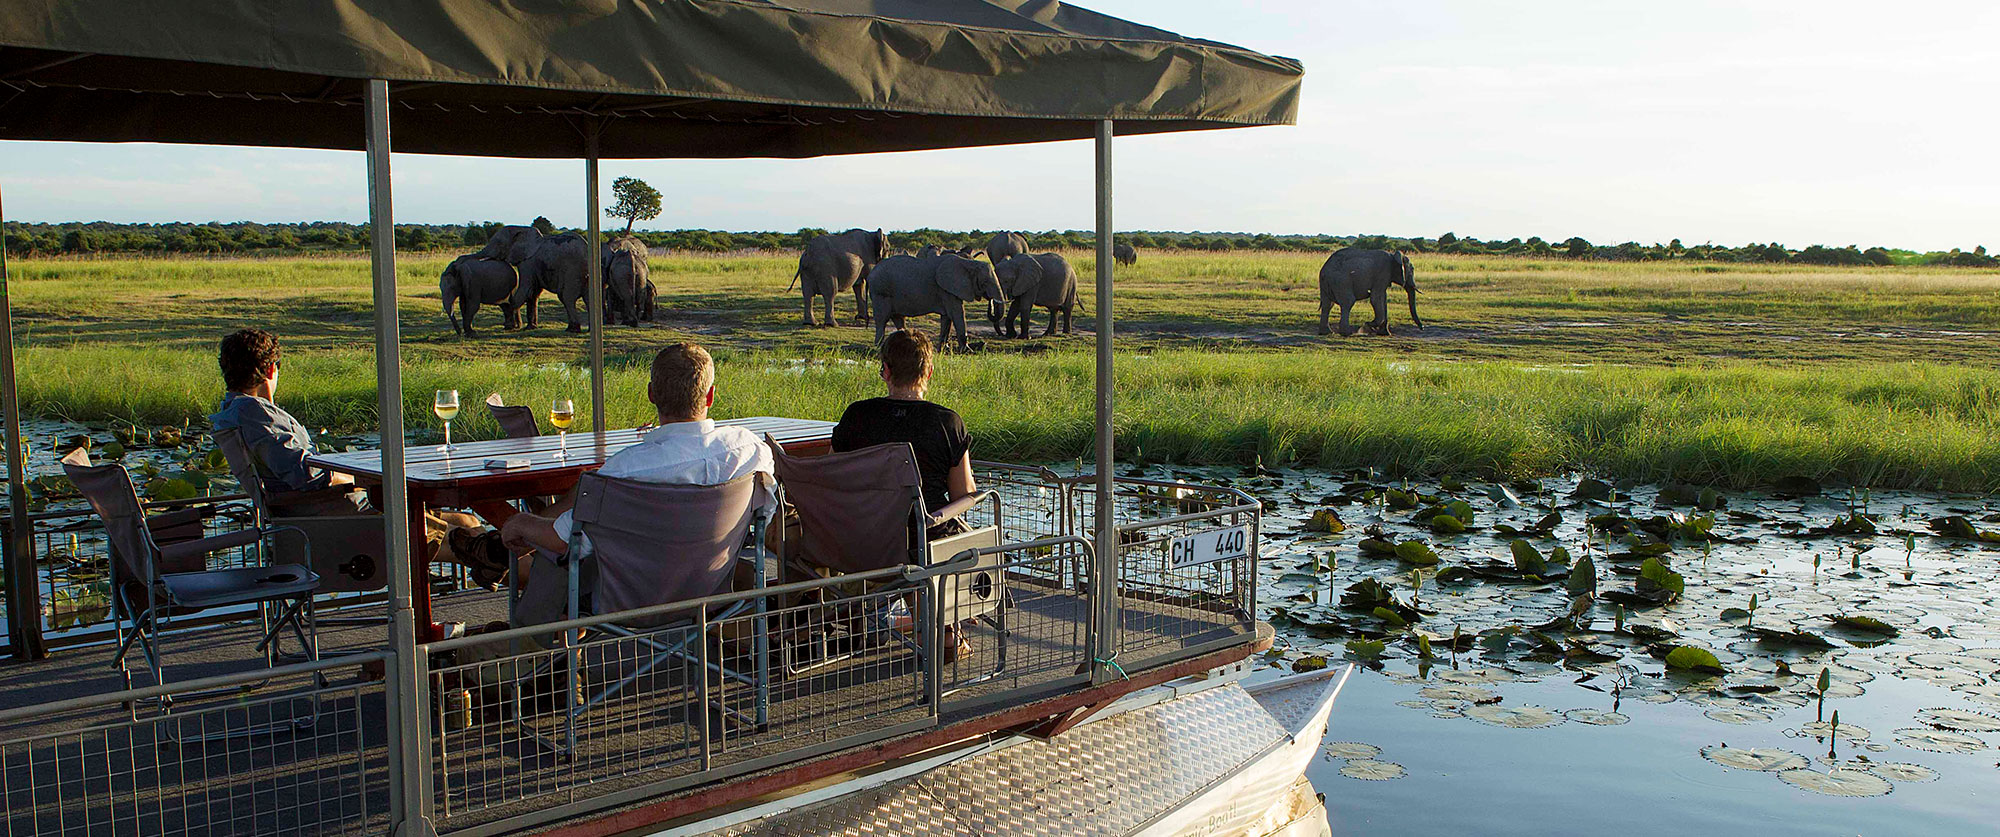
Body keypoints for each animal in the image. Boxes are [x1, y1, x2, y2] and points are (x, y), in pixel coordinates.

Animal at [868, 251, 1008, 350]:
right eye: (985, 283)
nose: (990, 300)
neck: (968, 263)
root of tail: (871, 273)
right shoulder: (947, 289)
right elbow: (957, 313)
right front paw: (967, 350)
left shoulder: (949, 290)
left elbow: (947, 318)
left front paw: (944, 348)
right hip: (880, 292)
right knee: (882, 320)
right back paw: (878, 347)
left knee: (898, 319)